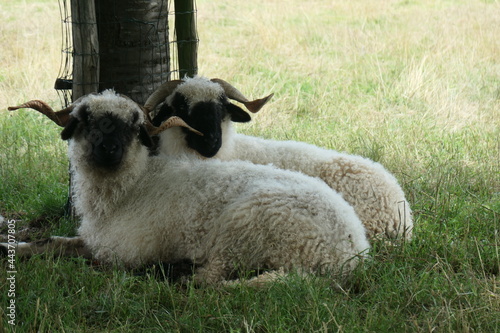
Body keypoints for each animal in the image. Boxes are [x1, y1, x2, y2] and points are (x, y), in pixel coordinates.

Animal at [5, 90, 370, 282]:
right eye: (84, 121)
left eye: (133, 127)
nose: (109, 150)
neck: (130, 188)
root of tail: (353, 249)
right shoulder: (96, 238)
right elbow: (52, 242)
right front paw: (17, 246)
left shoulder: (122, 253)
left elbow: (86, 257)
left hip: (243, 228)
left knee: (211, 279)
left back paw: (176, 270)